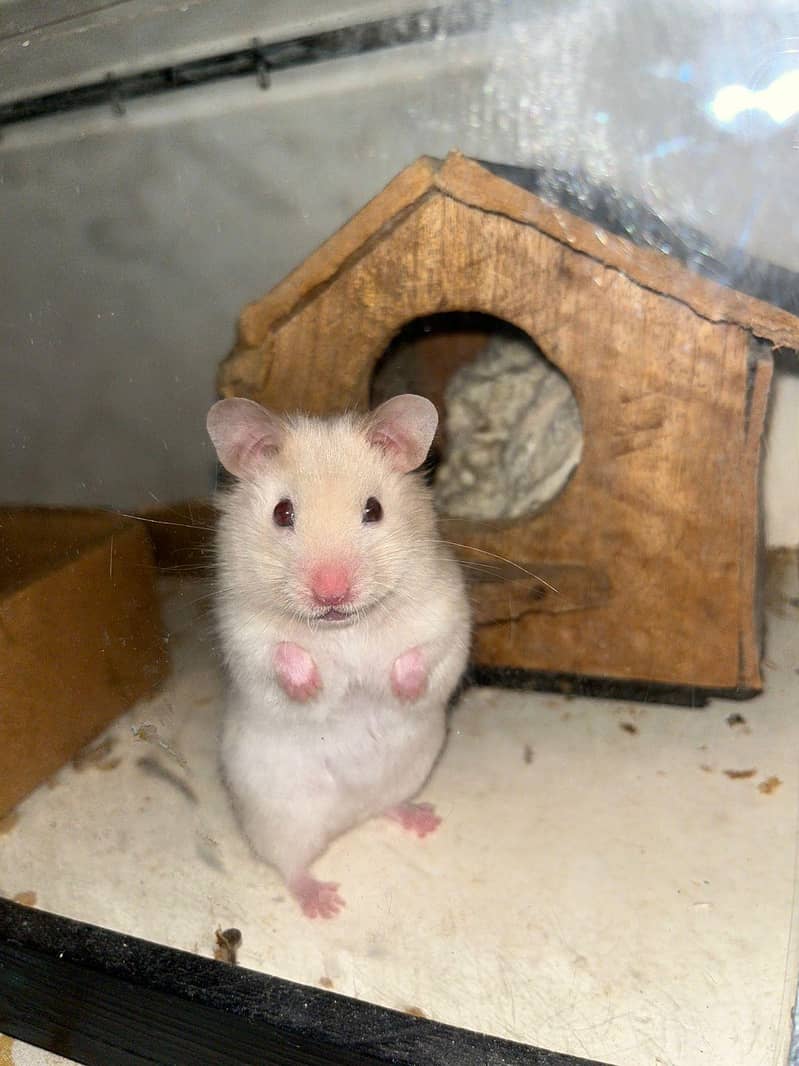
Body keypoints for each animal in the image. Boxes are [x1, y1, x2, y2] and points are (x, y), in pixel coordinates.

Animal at [206, 394, 471, 918]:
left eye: (374, 509)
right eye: (282, 513)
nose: (332, 593)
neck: (344, 627)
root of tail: (351, 817)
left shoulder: (448, 612)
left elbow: (424, 652)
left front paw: (400, 685)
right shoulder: (242, 634)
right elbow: (279, 653)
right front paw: (312, 684)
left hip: (409, 772)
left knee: (387, 805)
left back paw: (423, 820)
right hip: (281, 815)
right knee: (290, 865)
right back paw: (324, 905)